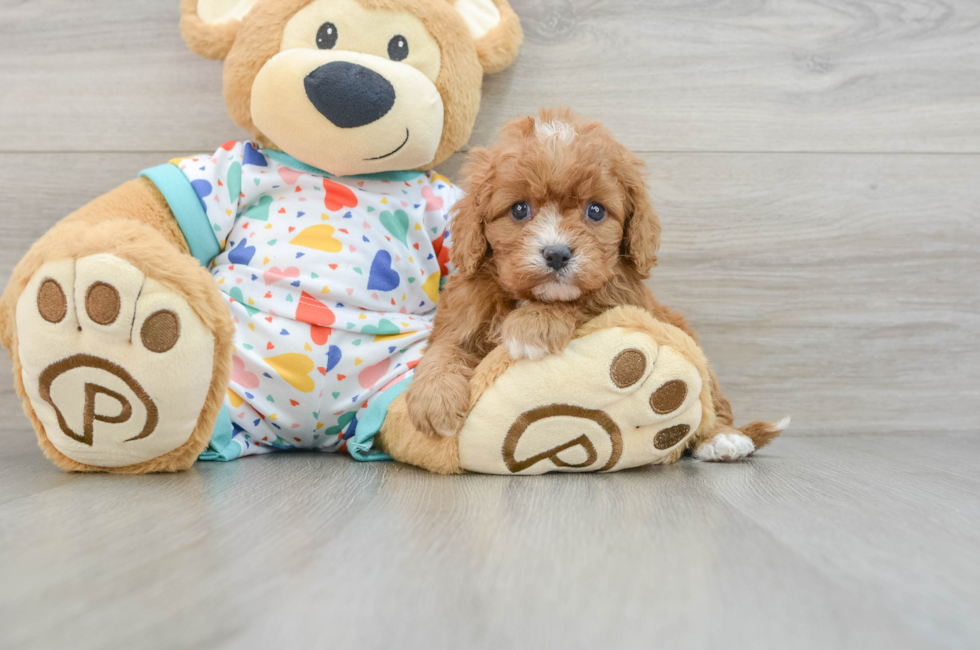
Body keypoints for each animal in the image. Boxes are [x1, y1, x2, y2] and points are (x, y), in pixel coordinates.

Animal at [404, 109, 780, 458]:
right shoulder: (463, 313)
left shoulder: (625, 300)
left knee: (710, 399)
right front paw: (433, 398)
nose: (557, 254)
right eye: (519, 209)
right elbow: (444, 349)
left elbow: (585, 301)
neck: (529, 296)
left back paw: (723, 437)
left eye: (596, 211)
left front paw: (533, 325)